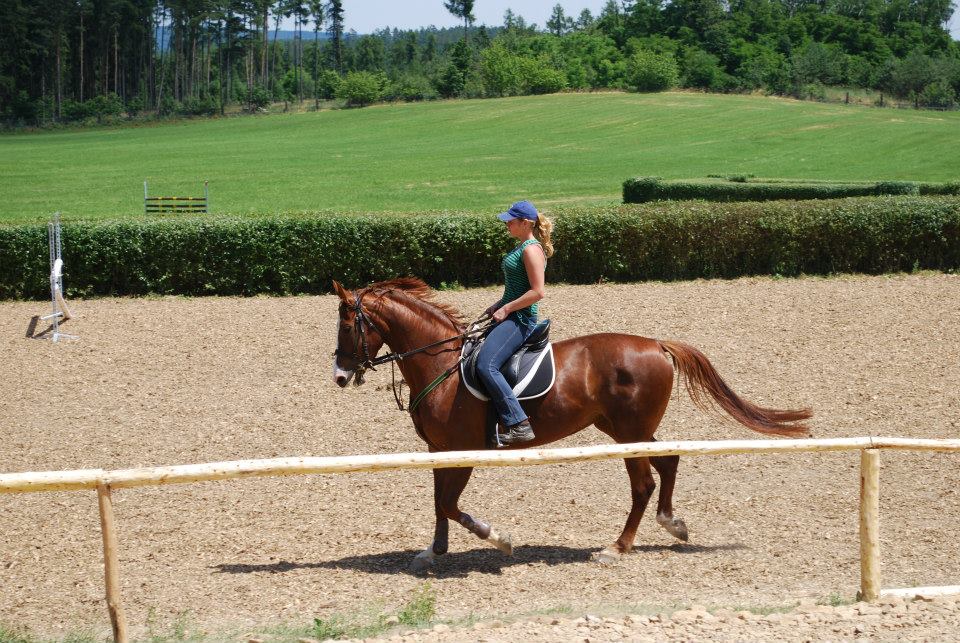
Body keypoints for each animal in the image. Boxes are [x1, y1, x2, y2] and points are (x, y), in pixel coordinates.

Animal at [330, 280, 808, 572]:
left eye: (348, 324)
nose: (339, 374)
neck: (441, 366)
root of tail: (656, 344)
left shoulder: (464, 449)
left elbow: (448, 504)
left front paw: (499, 539)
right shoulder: (439, 450)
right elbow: (436, 503)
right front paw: (432, 552)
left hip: (628, 434)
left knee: (643, 484)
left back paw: (617, 547)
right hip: (623, 430)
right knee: (668, 461)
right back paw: (672, 524)